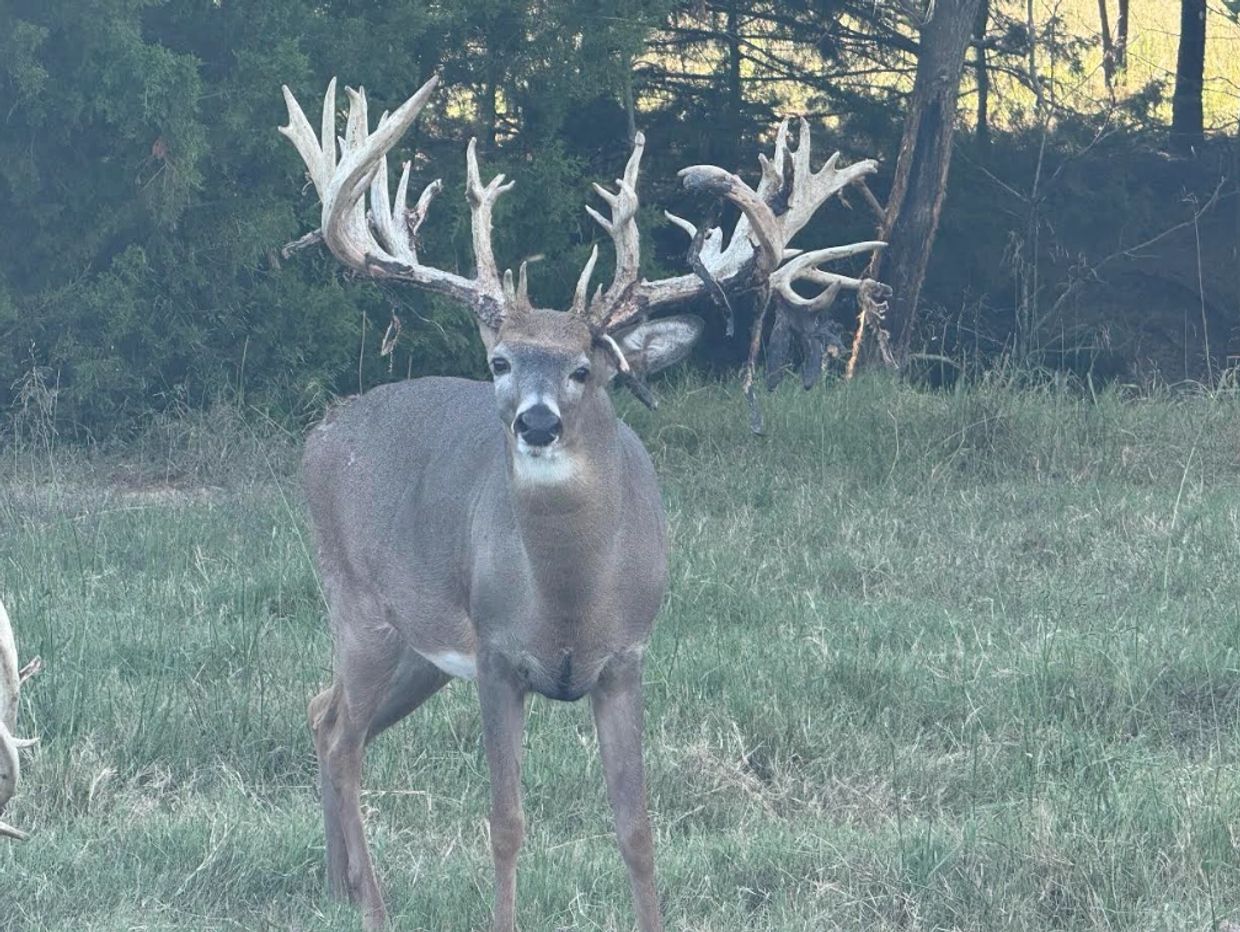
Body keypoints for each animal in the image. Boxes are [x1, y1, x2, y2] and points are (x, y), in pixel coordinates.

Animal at [279, 74, 884, 931]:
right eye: (499, 362)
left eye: (586, 369)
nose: (535, 422)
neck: (568, 597)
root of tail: (324, 430)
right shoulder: (497, 655)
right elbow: (505, 822)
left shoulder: (626, 657)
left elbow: (636, 825)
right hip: (359, 605)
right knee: (342, 734)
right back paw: (372, 906)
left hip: (418, 650)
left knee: (324, 713)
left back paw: (342, 889)